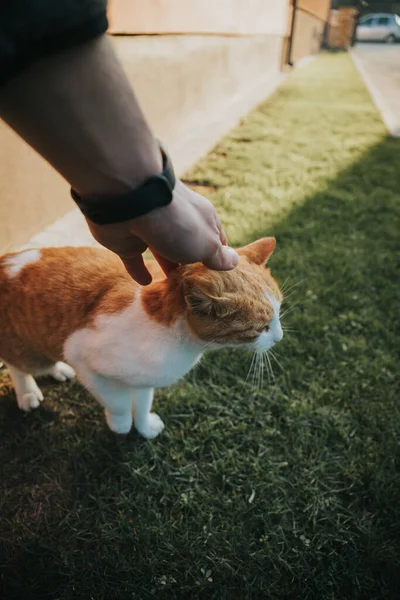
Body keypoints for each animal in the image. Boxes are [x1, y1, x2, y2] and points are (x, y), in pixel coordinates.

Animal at [0, 237, 282, 438]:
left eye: (279, 311)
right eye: (262, 328)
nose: (279, 337)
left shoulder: (145, 379)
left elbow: (143, 402)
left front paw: (145, 427)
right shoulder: (81, 356)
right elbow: (118, 402)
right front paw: (121, 425)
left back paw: (58, 370)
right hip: (30, 349)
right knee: (18, 366)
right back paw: (28, 393)